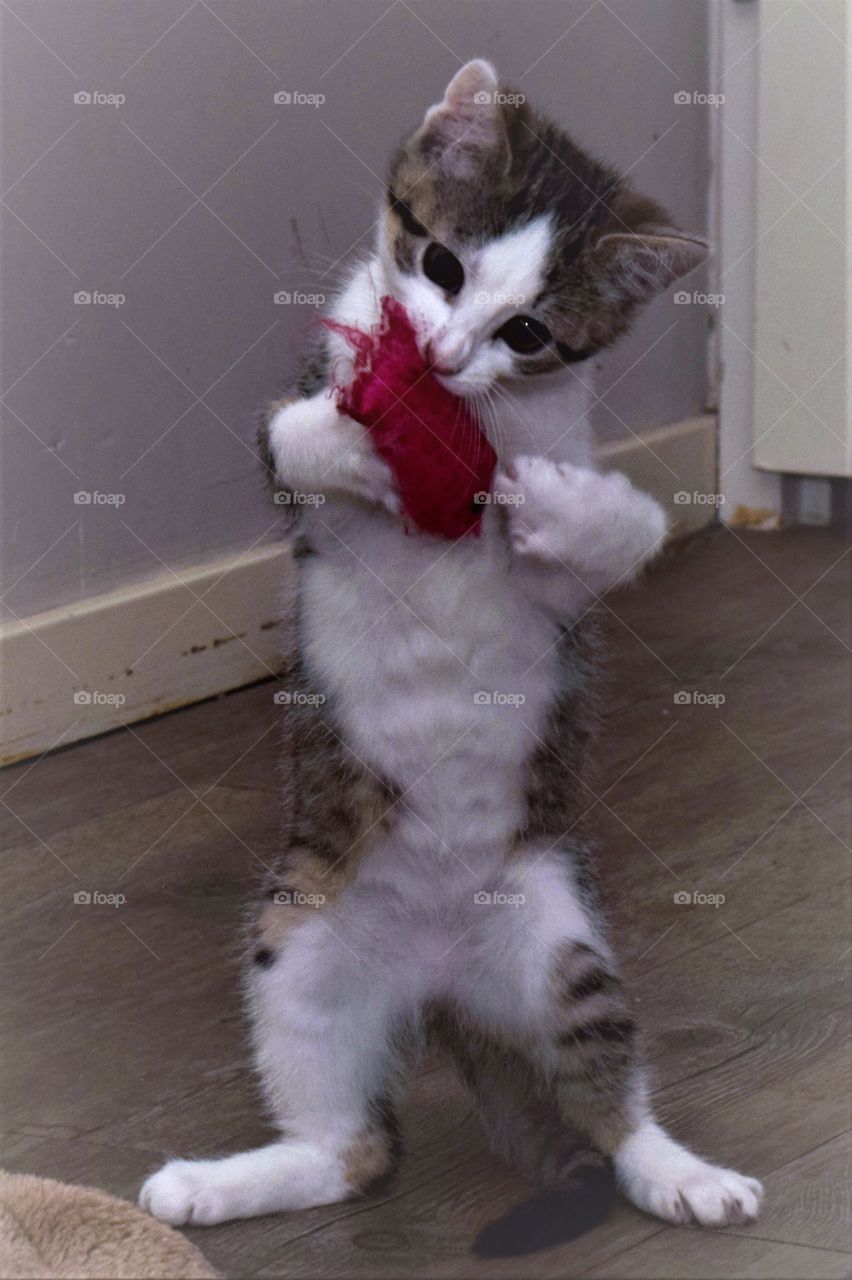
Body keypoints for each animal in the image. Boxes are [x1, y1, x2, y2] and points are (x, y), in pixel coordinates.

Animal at [140, 62, 762, 1249]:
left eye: (527, 331)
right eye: (440, 266)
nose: (437, 357)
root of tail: (436, 986)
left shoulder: (558, 591)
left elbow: (628, 532)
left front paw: (569, 506)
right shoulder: (302, 465)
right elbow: (290, 438)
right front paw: (362, 447)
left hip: (561, 939)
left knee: (606, 1091)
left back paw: (683, 1173)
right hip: (299, 931)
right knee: (355, 1148)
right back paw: (221, 1181)